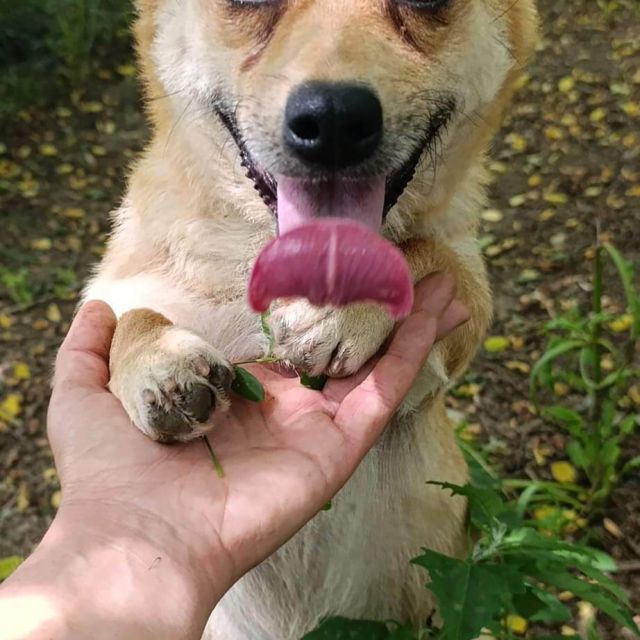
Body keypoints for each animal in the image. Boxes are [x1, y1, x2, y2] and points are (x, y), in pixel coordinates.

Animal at [84, 2, 536, 636]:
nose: (334, 121)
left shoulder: (464, 301)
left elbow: (420, 251)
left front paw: (342, 307)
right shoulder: (112, 294)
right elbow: (132, 318)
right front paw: (160, 366)